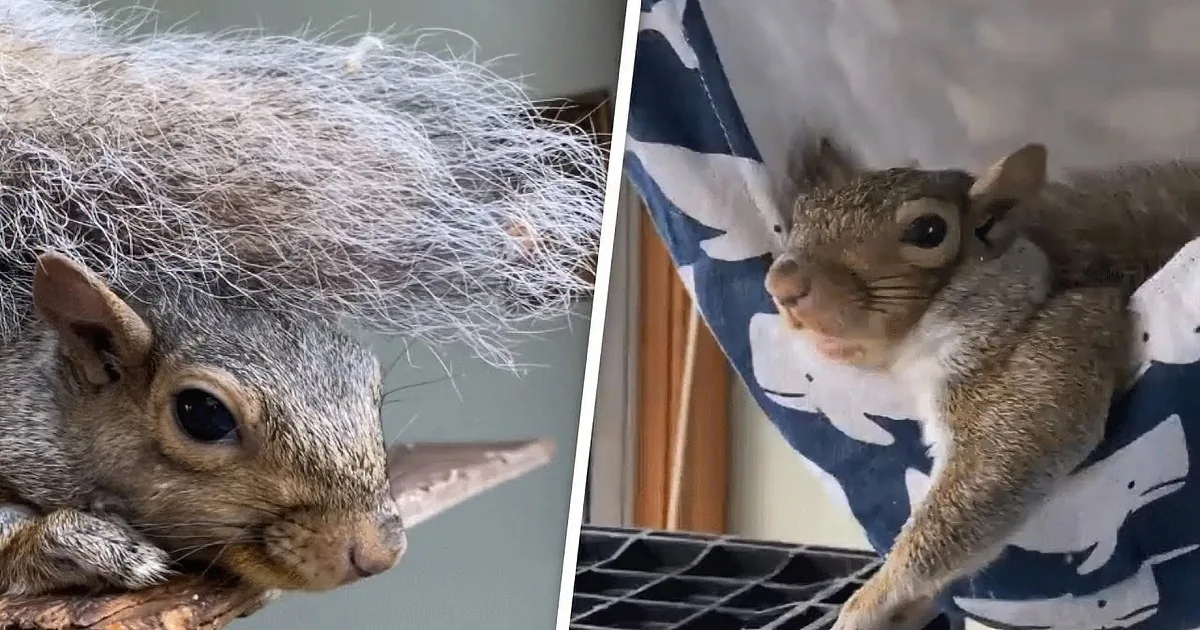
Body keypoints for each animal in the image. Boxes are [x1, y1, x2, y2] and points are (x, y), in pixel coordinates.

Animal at [764, 138, 1200, 630]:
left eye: (929, 231)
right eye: (799, 213)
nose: (783, 283)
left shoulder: (1047, 349)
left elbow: (1001, 461)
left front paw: (871, 599)